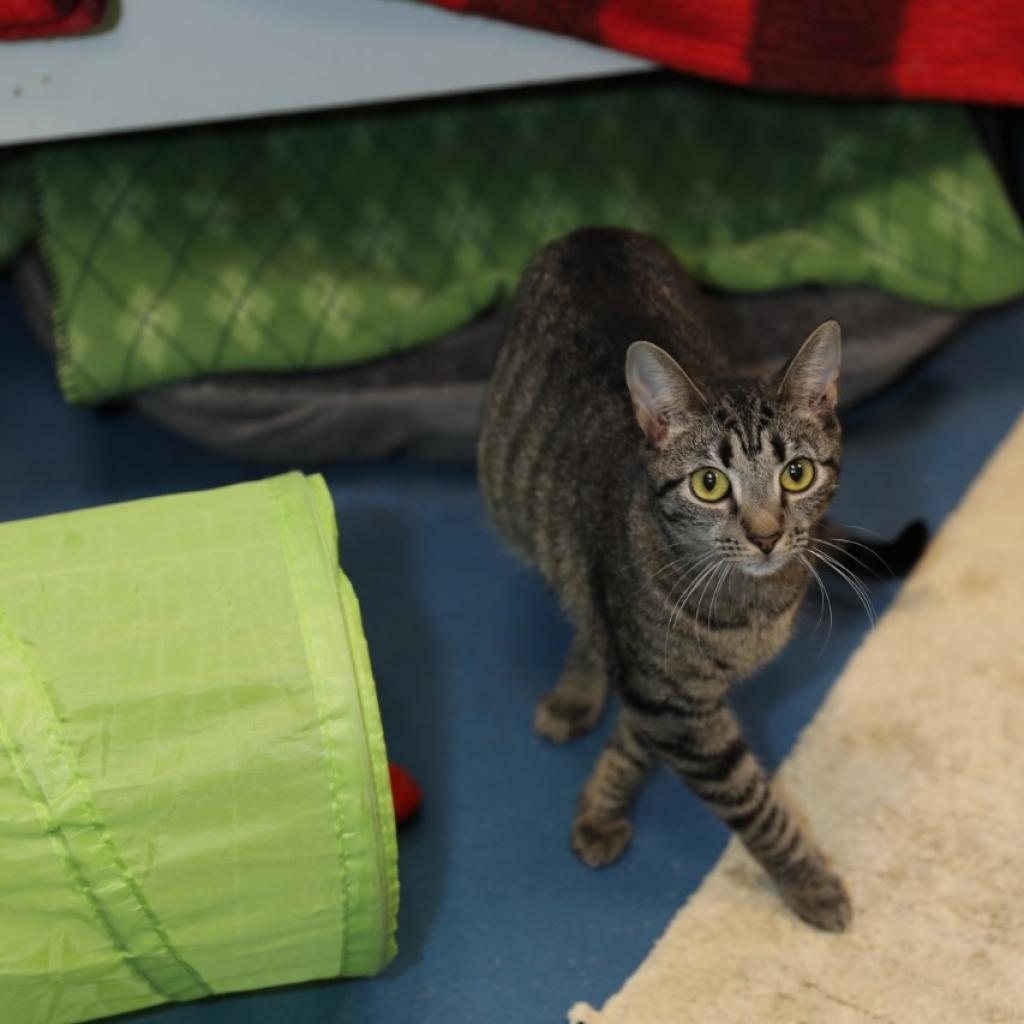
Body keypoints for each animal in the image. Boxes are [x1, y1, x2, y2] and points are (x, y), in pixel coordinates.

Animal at [475, 228, 925, 933]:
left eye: (797, 473)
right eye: (709, 484)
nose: (767, 535)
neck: (752, 606)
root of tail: (593, 233)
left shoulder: (663, 700)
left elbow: (633, 743)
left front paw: (601, 801)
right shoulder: (674, 705)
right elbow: (759, 808)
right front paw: (810, 881)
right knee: (577, 603)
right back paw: (576, 690)